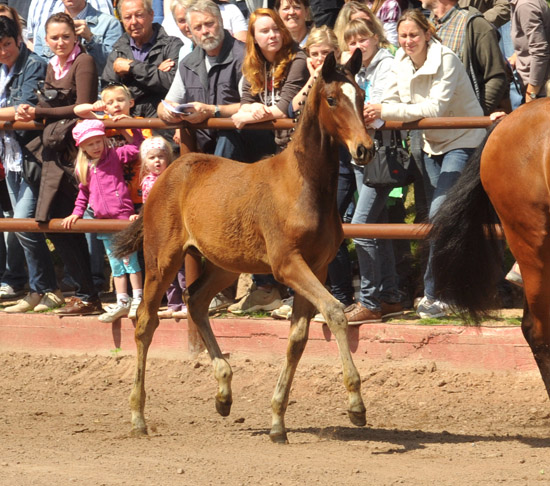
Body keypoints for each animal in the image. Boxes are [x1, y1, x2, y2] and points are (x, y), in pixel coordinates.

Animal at [116, 50, 376, 444]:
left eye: (360, 96)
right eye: (332, 99)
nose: (365, 149)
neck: (304, 186)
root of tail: (167, 173)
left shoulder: (317, 267)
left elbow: (298, 338)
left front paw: (277, 421)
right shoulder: (288, 265)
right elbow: (334, 312)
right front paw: (356, 405)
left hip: (225, 265)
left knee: (195, 300)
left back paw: (224, 392)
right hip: (162, 259)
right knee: (146, 322)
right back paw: (137, 417)